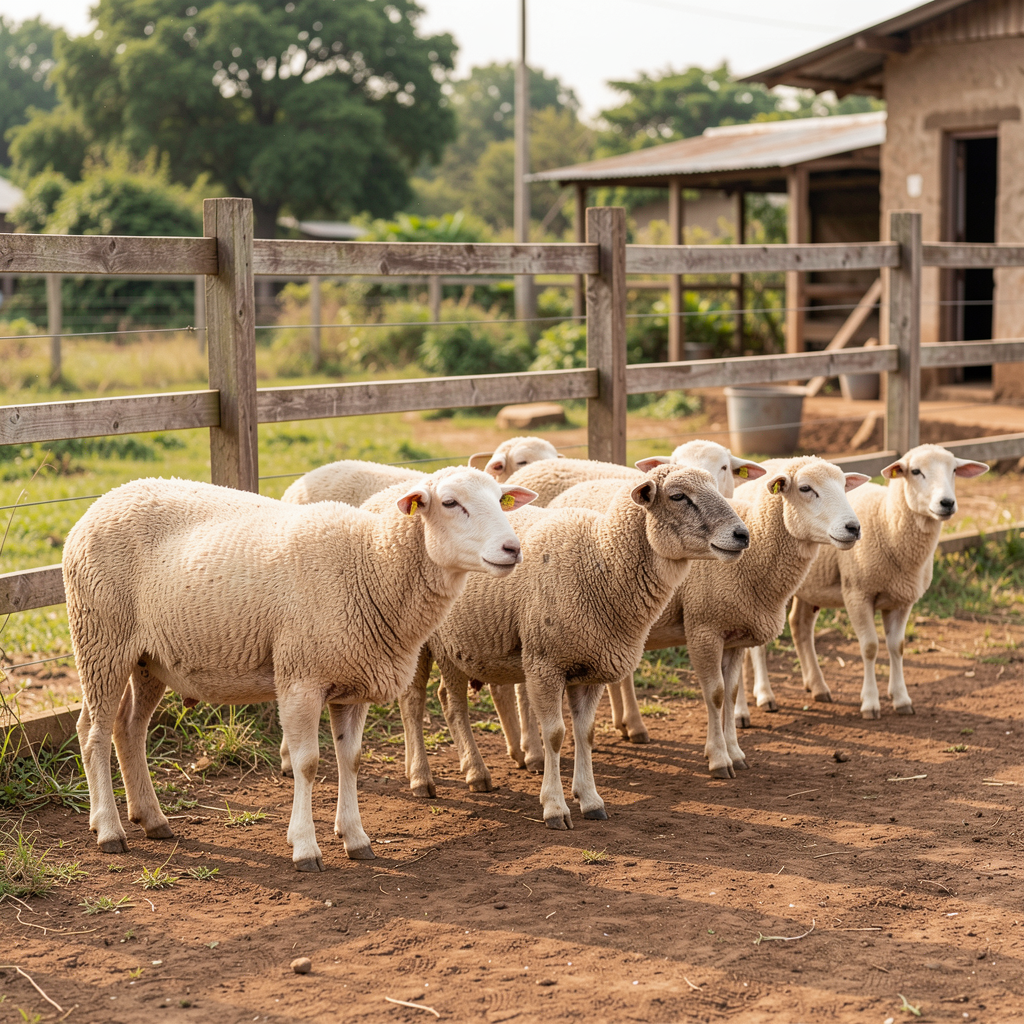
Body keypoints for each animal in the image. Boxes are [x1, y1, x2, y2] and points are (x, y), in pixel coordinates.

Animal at [63, 467, 536, 871]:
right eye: (451, 502)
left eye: (501, 499)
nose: (513, 548)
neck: (370, 564)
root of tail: (103, 501)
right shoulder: (299, 677)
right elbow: (308, 764)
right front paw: (305, 847)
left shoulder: (352, 681)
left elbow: (351, 759)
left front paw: (356, 838)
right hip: (100, 638)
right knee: (93, 732)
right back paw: (109, 829)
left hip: (148, 658)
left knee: (128, 728)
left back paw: (152, 819)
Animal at [397, 465, 751, 820]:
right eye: (678, 496)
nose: (742, 535)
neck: (601, 561)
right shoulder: (545, 663)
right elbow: (555, 734)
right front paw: (554, 806)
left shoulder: (591, 666)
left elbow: (585, 732)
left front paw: (590, 799)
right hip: (424, 642)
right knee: (430, 703)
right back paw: (441, 776)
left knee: (443, 698)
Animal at [548, 457, 867, 776]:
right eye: (805, 488)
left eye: (844, 485)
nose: (853, 528)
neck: (757, 554)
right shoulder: (705, 629)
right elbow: (715, 693)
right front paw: (719, 758)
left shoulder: (735, 635)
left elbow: (732, 692)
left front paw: (735, 752)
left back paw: (631, 727)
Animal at [736, 444, 988, 723]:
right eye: (915, 471)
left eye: (954, 470)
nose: (947, 503)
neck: (887, 520)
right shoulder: (857, 593)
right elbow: (869, 647)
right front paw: (870, 703)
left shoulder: (903, 599)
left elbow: (897, 647)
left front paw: (901, 698)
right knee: (762, 646)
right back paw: (765, 695)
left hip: (810, 587)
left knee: (800, 626)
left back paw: (817, 686)